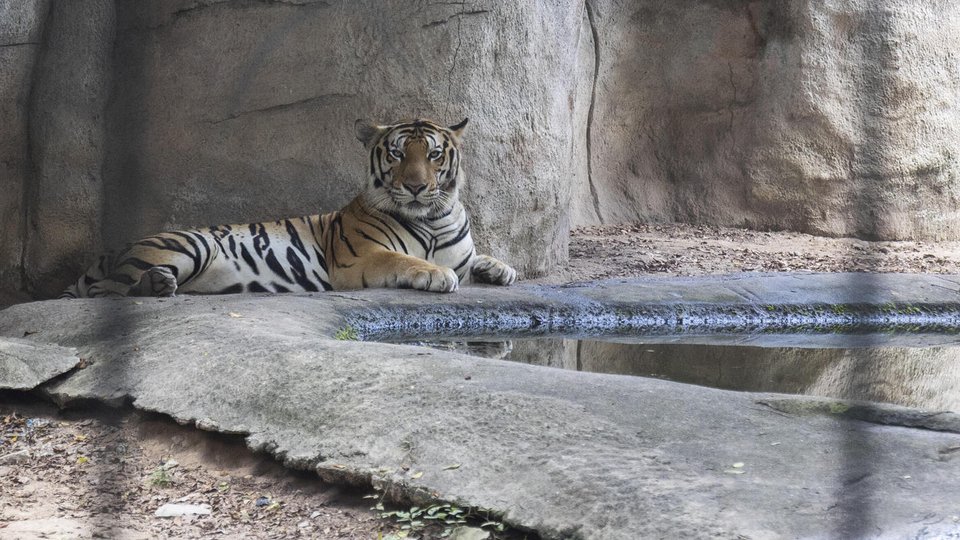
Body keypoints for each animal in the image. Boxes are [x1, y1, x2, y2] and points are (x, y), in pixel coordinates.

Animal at [61, 118, 517, 298]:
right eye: (397, 154)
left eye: (435, 155)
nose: (417, 186)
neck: (435, 218)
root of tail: (113, 251)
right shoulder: (358, 259)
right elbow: (404, 260)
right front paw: (436, 274)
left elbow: (479, 259)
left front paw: (500, 269)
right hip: (188, 245)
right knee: (105, 292)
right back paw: (152, 287)